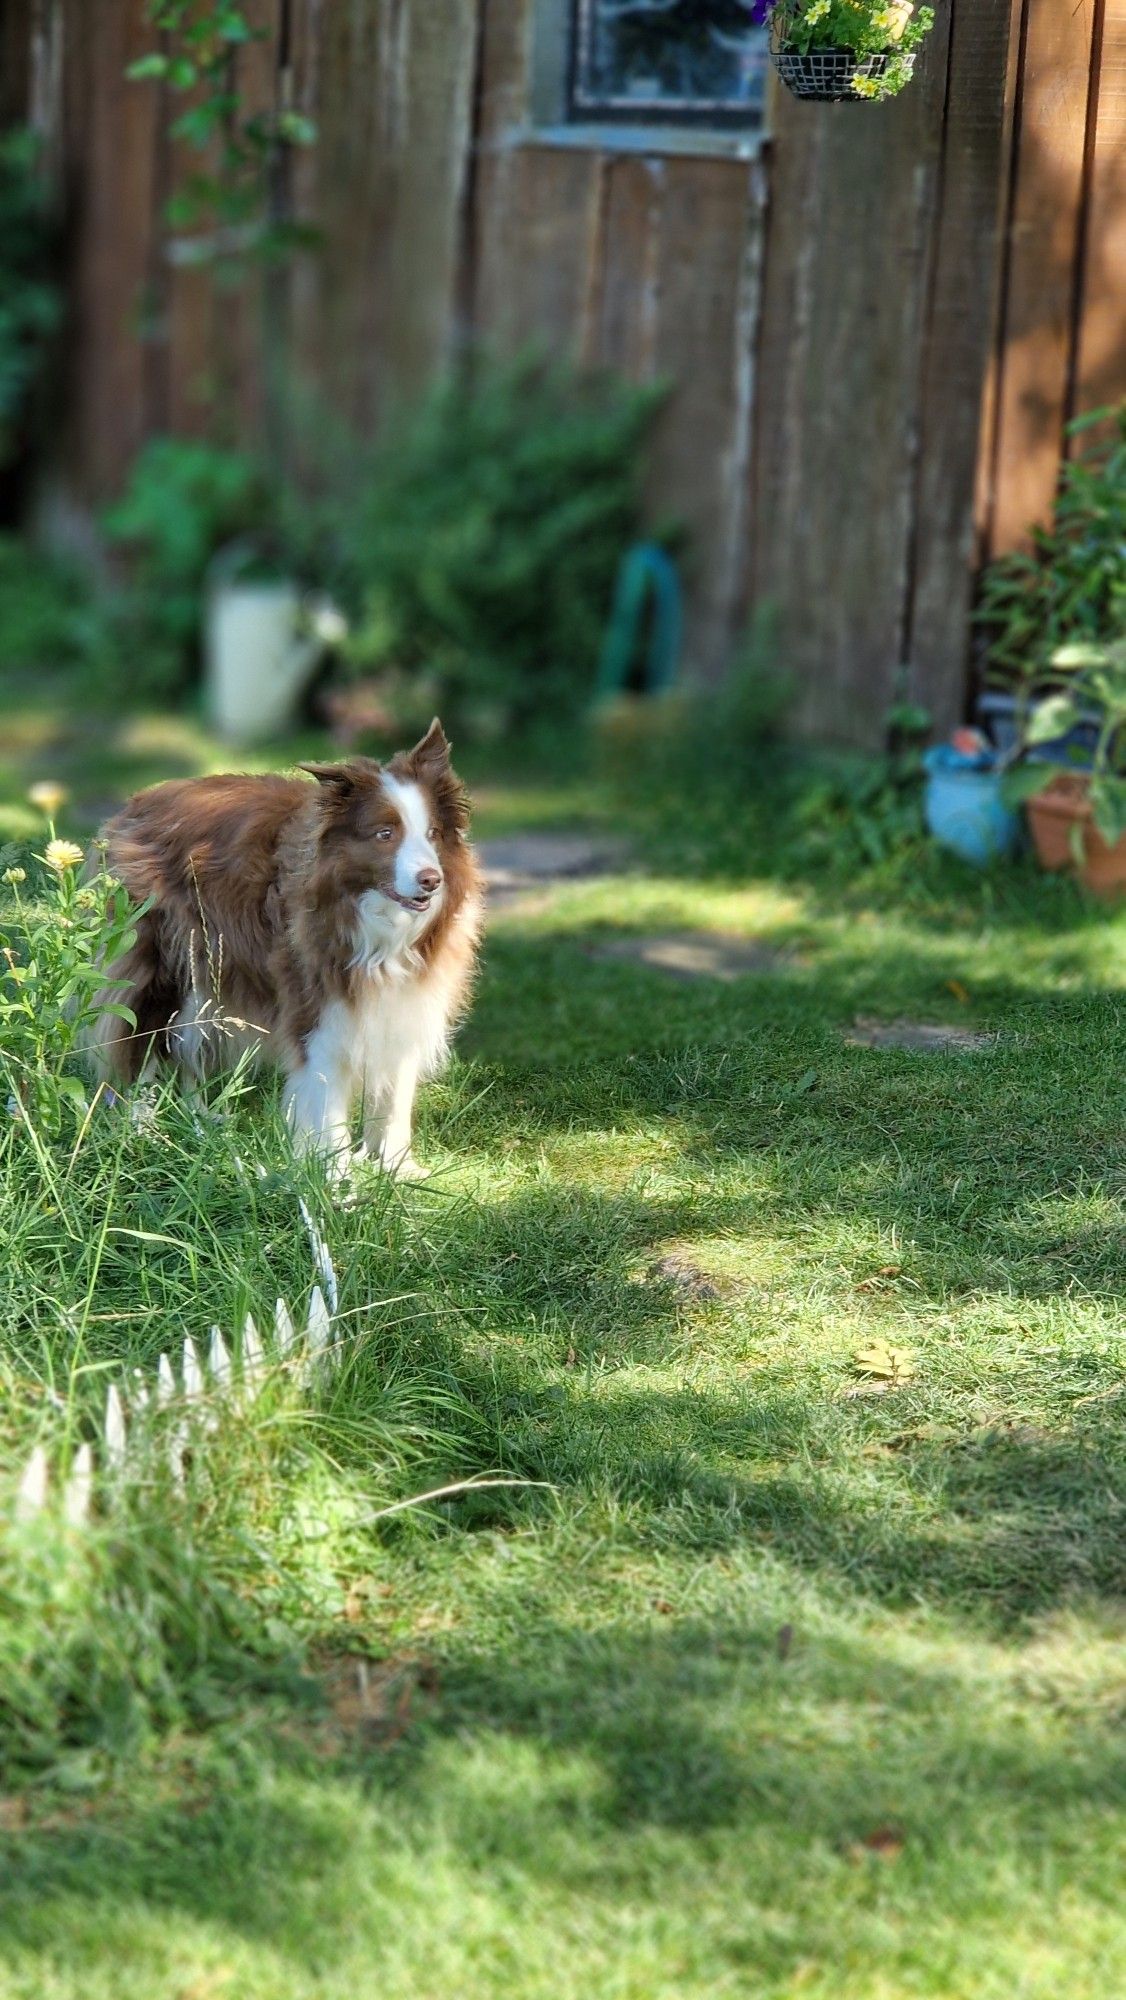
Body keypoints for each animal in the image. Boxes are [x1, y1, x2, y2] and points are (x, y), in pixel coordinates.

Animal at [83, 724, 480, 1168]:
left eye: (432, 834)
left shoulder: (407, 999)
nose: (431, 880)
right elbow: (325, 1092)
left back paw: (199, 1120)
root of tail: (133, 804)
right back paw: (143, 1131)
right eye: (385, 834)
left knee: (185, 1042)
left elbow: (395, 1091)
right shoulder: (315, 995)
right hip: (161, 958)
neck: (373, 916)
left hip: (208, 967)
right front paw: (333, 1174)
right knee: (142, 1040)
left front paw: (396, 1170)